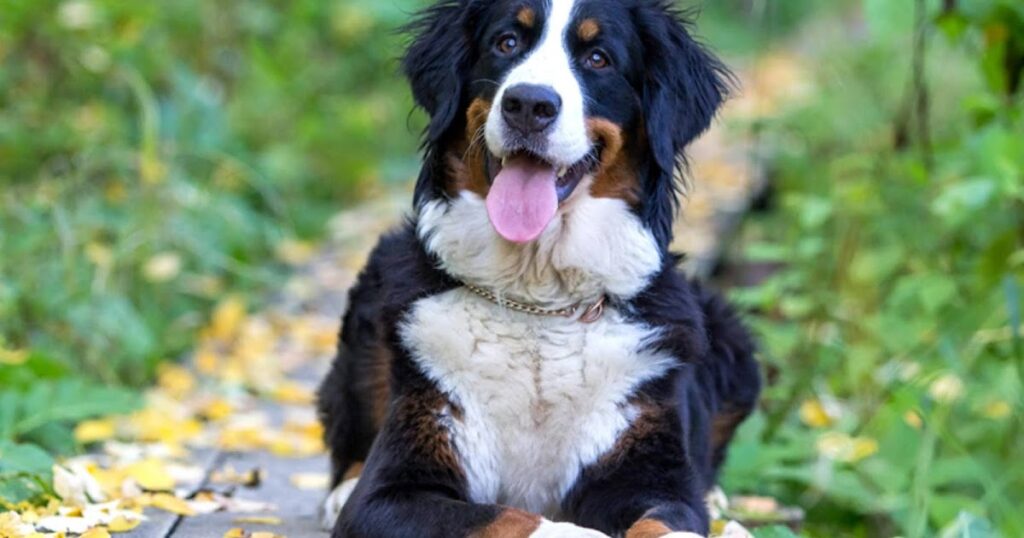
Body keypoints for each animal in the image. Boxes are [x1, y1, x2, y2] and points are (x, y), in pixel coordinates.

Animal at [317, 2, 761, 532]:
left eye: (597, 58)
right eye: (507, 42)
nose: (529, 104)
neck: (538, 300)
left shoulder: (650, 471)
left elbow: (668, 521)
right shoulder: (392, 490)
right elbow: (513, 518)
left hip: (731, 338)